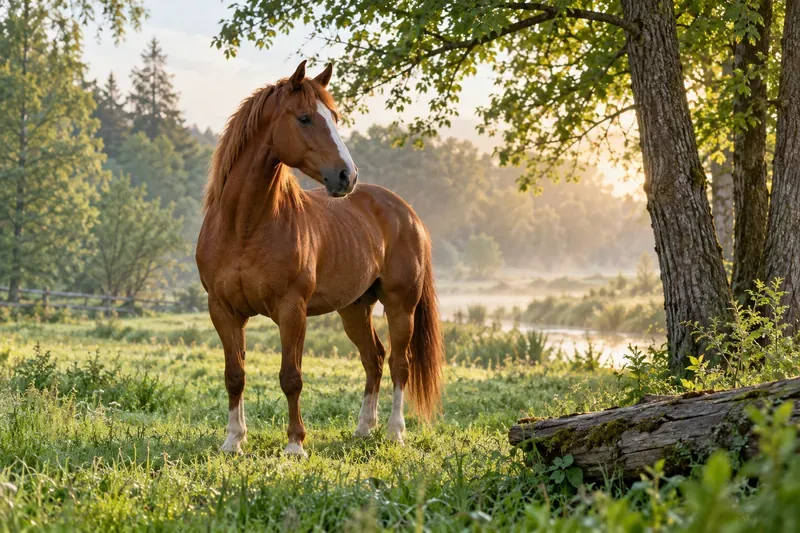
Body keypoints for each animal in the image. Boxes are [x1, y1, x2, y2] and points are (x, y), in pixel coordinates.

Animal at [196, 60, 445, 457]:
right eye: (304, 118)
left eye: (335, 117)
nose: (347, 176)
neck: (244, 227)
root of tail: (406, 212)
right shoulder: (222, 309)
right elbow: (235, 375)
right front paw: (233, 440)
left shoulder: (291, 309)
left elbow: (291, 377)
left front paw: (295, 444)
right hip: (354, 309)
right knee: (373, 358)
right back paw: (364, 428)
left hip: (400, 305)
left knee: (399, 364)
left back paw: (395, 431)